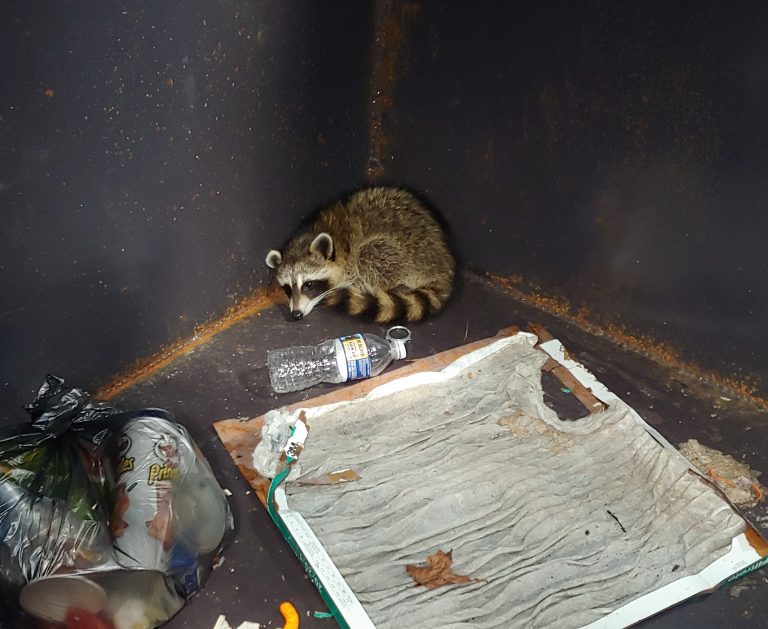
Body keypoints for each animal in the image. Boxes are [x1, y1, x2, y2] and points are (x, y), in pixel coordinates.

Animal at [265, 186, 455, 323]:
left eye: (309, 285)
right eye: (287, 288)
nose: (295, 314)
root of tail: (443, 267)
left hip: (408, 256)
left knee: (368, 253)